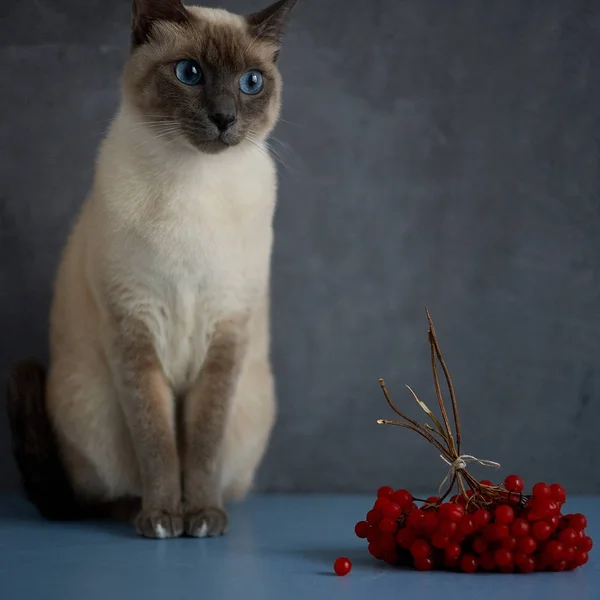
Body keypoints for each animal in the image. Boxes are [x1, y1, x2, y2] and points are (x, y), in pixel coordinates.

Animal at [4, 0, 296, 540]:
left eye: (250, 82)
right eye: (189, 73)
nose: (224, 118)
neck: (194, 182)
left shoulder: (226, 334)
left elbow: (201, 446)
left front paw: (202, 520)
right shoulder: (134, 331)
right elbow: (158, 444)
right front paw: (163, 521)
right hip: (91, 405)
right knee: (101, 496)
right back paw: (144, 512)